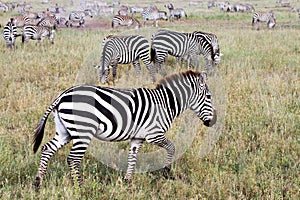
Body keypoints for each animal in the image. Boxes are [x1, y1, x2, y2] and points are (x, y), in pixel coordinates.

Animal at [32, 70, 216, 188]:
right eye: (208, 97)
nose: (213, 122)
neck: (166, 103)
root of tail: (62, 96)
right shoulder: (154, 134)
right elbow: (172, 147)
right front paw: (167, 172)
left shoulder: (138, 137)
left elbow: (132, 158)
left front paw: (128, 181)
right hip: (83, 131)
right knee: (73, 159)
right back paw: (80, 187)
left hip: (65, 131)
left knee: (47, 149)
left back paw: (38, 182)